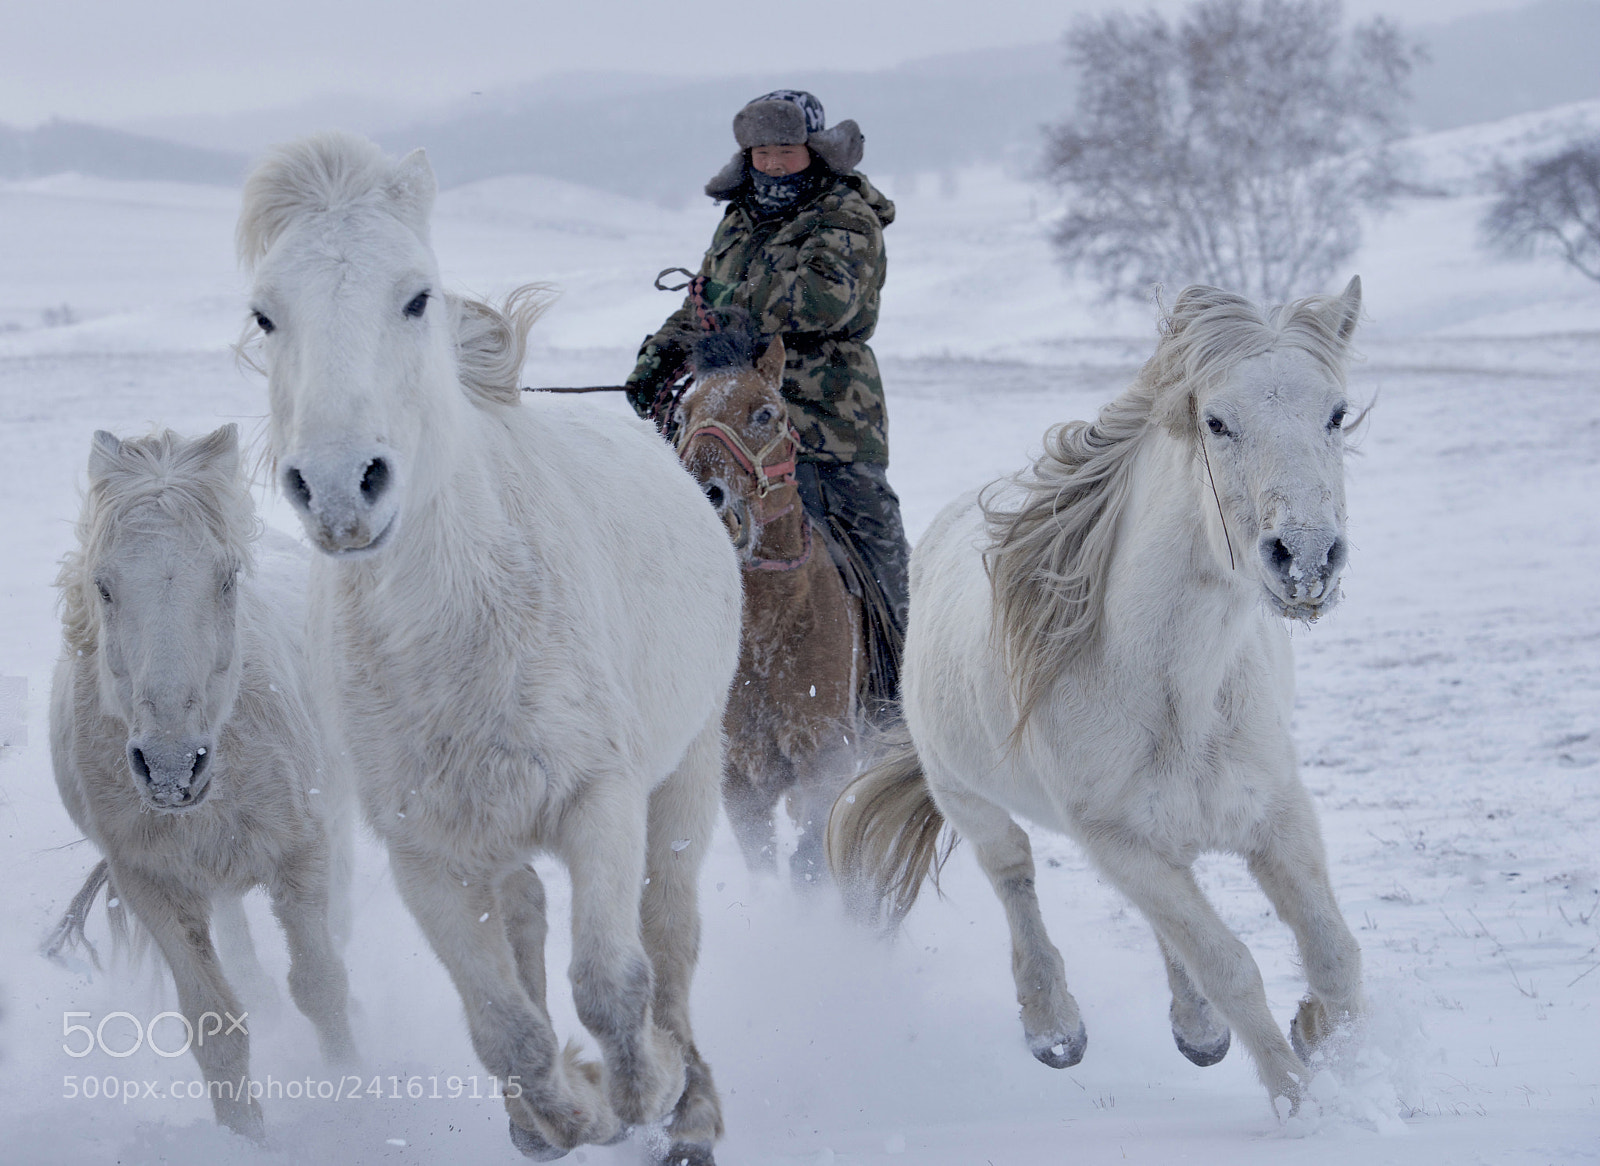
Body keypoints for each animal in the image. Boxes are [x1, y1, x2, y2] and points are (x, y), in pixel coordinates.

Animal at [47, 424, 357, 1139]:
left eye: (226, 579)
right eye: (104, 587)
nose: (169, 766)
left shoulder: (301, 852)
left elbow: (322, 985)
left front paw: (356, 1099)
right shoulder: (151, 886)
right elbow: (215, 1028)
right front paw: (247, 1137)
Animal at [236, 132, 741, 1164]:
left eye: (416, 295)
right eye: (265, 314)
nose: (342, 487)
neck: (458, 628)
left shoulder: (600, 800)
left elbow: (613, 982)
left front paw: (649, 1086)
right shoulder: (427, 855)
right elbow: (506, 1028)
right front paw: (570, 1115)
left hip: (687, 775)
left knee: (670, 932)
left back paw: (693, 1109)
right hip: (498, 840)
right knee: (529, 930)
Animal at [674, 322, 862, 886]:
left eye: (764, 413)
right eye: (681, 415)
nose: (705, 493)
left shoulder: (827, 756)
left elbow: (809, 864)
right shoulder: (741, 774)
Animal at [829, 279, 1367, 1115]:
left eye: (1336, 413)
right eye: (1217, 421)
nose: (1306, 560)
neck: (1181, 693)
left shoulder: (1276, 813)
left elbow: (1334, 955)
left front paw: (1323, 1042)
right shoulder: (1119, 843)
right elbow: (1232, 967)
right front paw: (1302, 1105)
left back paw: (1196, 1032)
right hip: (969, 798)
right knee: (1013, 875)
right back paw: (1054, 1027)